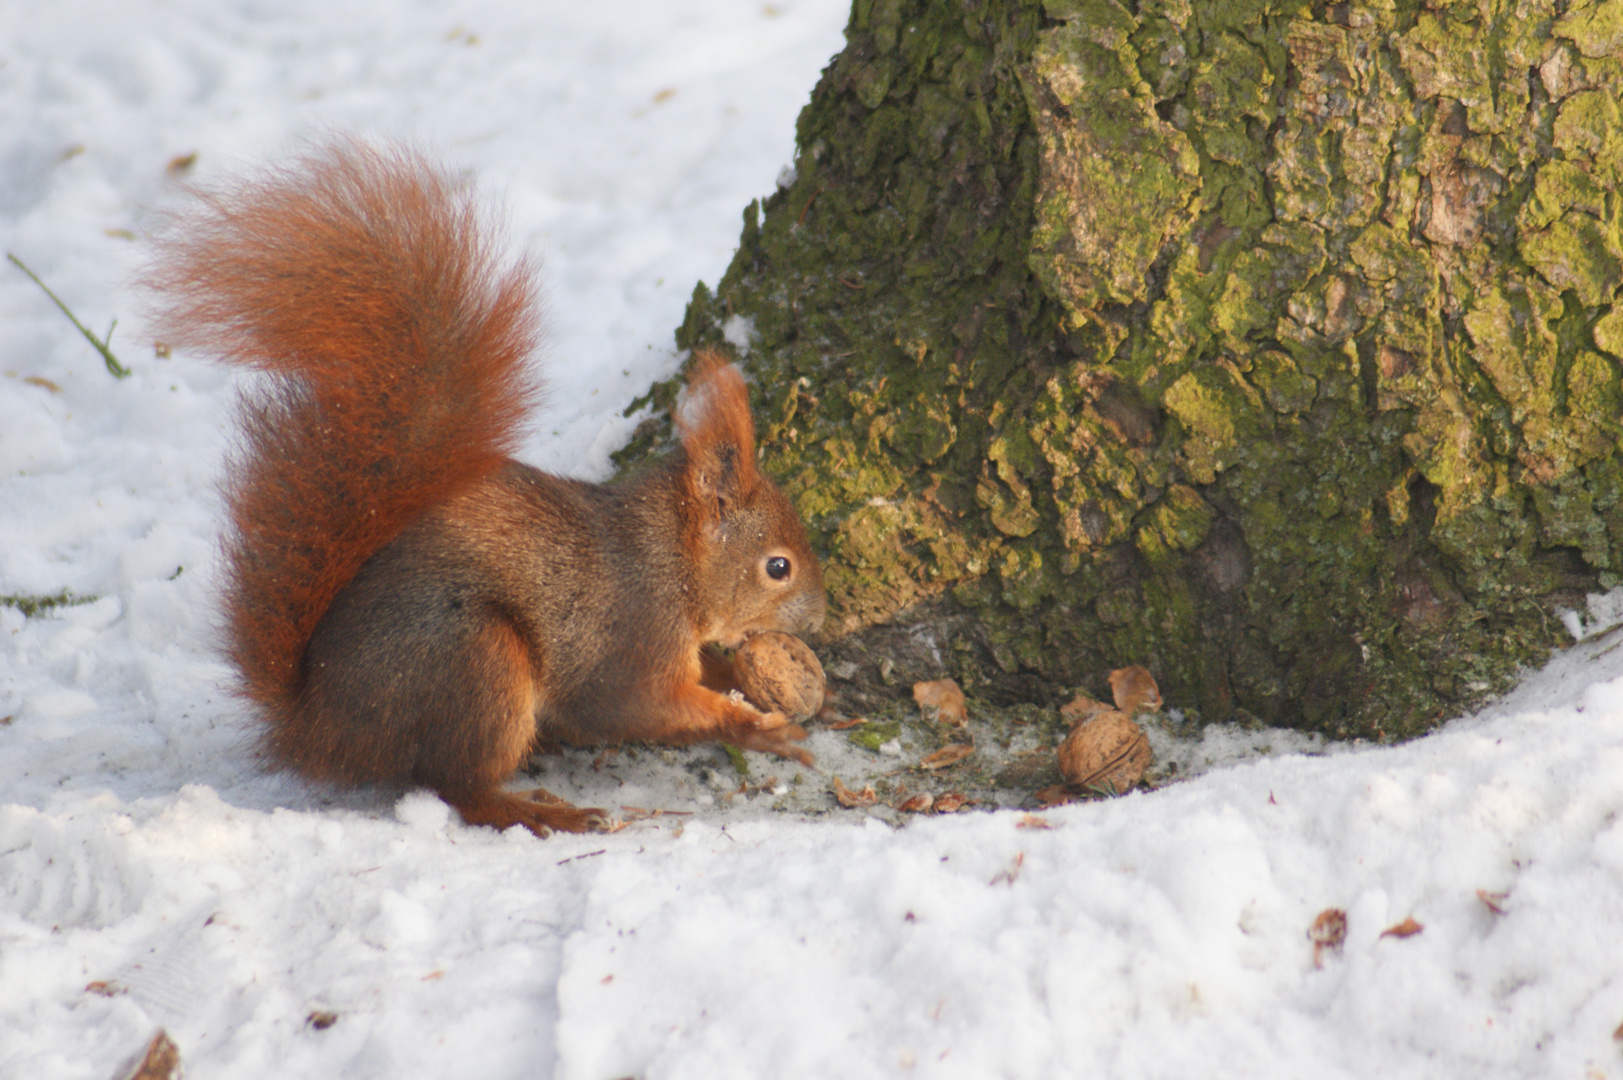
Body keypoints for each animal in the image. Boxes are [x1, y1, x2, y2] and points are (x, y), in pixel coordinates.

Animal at [150, 141, 824, 831]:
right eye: (778, 567)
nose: (822, 618)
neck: (671, 556)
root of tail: (318, 726)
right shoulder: (631, 637)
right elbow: (637, 707)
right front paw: (757, 730)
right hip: (477, 663)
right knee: (461, 788)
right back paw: (546, 814)